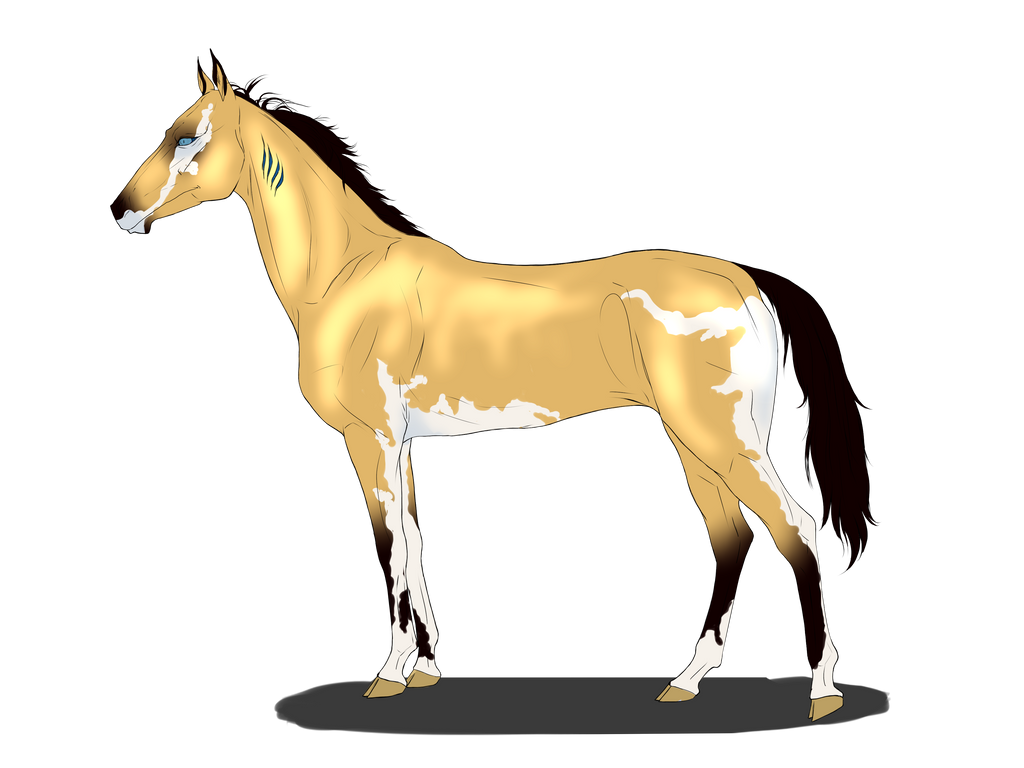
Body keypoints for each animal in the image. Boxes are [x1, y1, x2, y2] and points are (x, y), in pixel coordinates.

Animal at [111, 64, 870, 722]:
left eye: (187, 134)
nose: (123, 209)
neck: (346, 275)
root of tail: (739, 281)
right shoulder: (401, 444)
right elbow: (414, 539)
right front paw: (424, 667)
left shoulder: (372, 438)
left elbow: (388, 545)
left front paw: (388, 674)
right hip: (695, 441)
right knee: (732, 536)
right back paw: (687, 680)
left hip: (717, 437)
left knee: (793, 529)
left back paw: (820, 691)